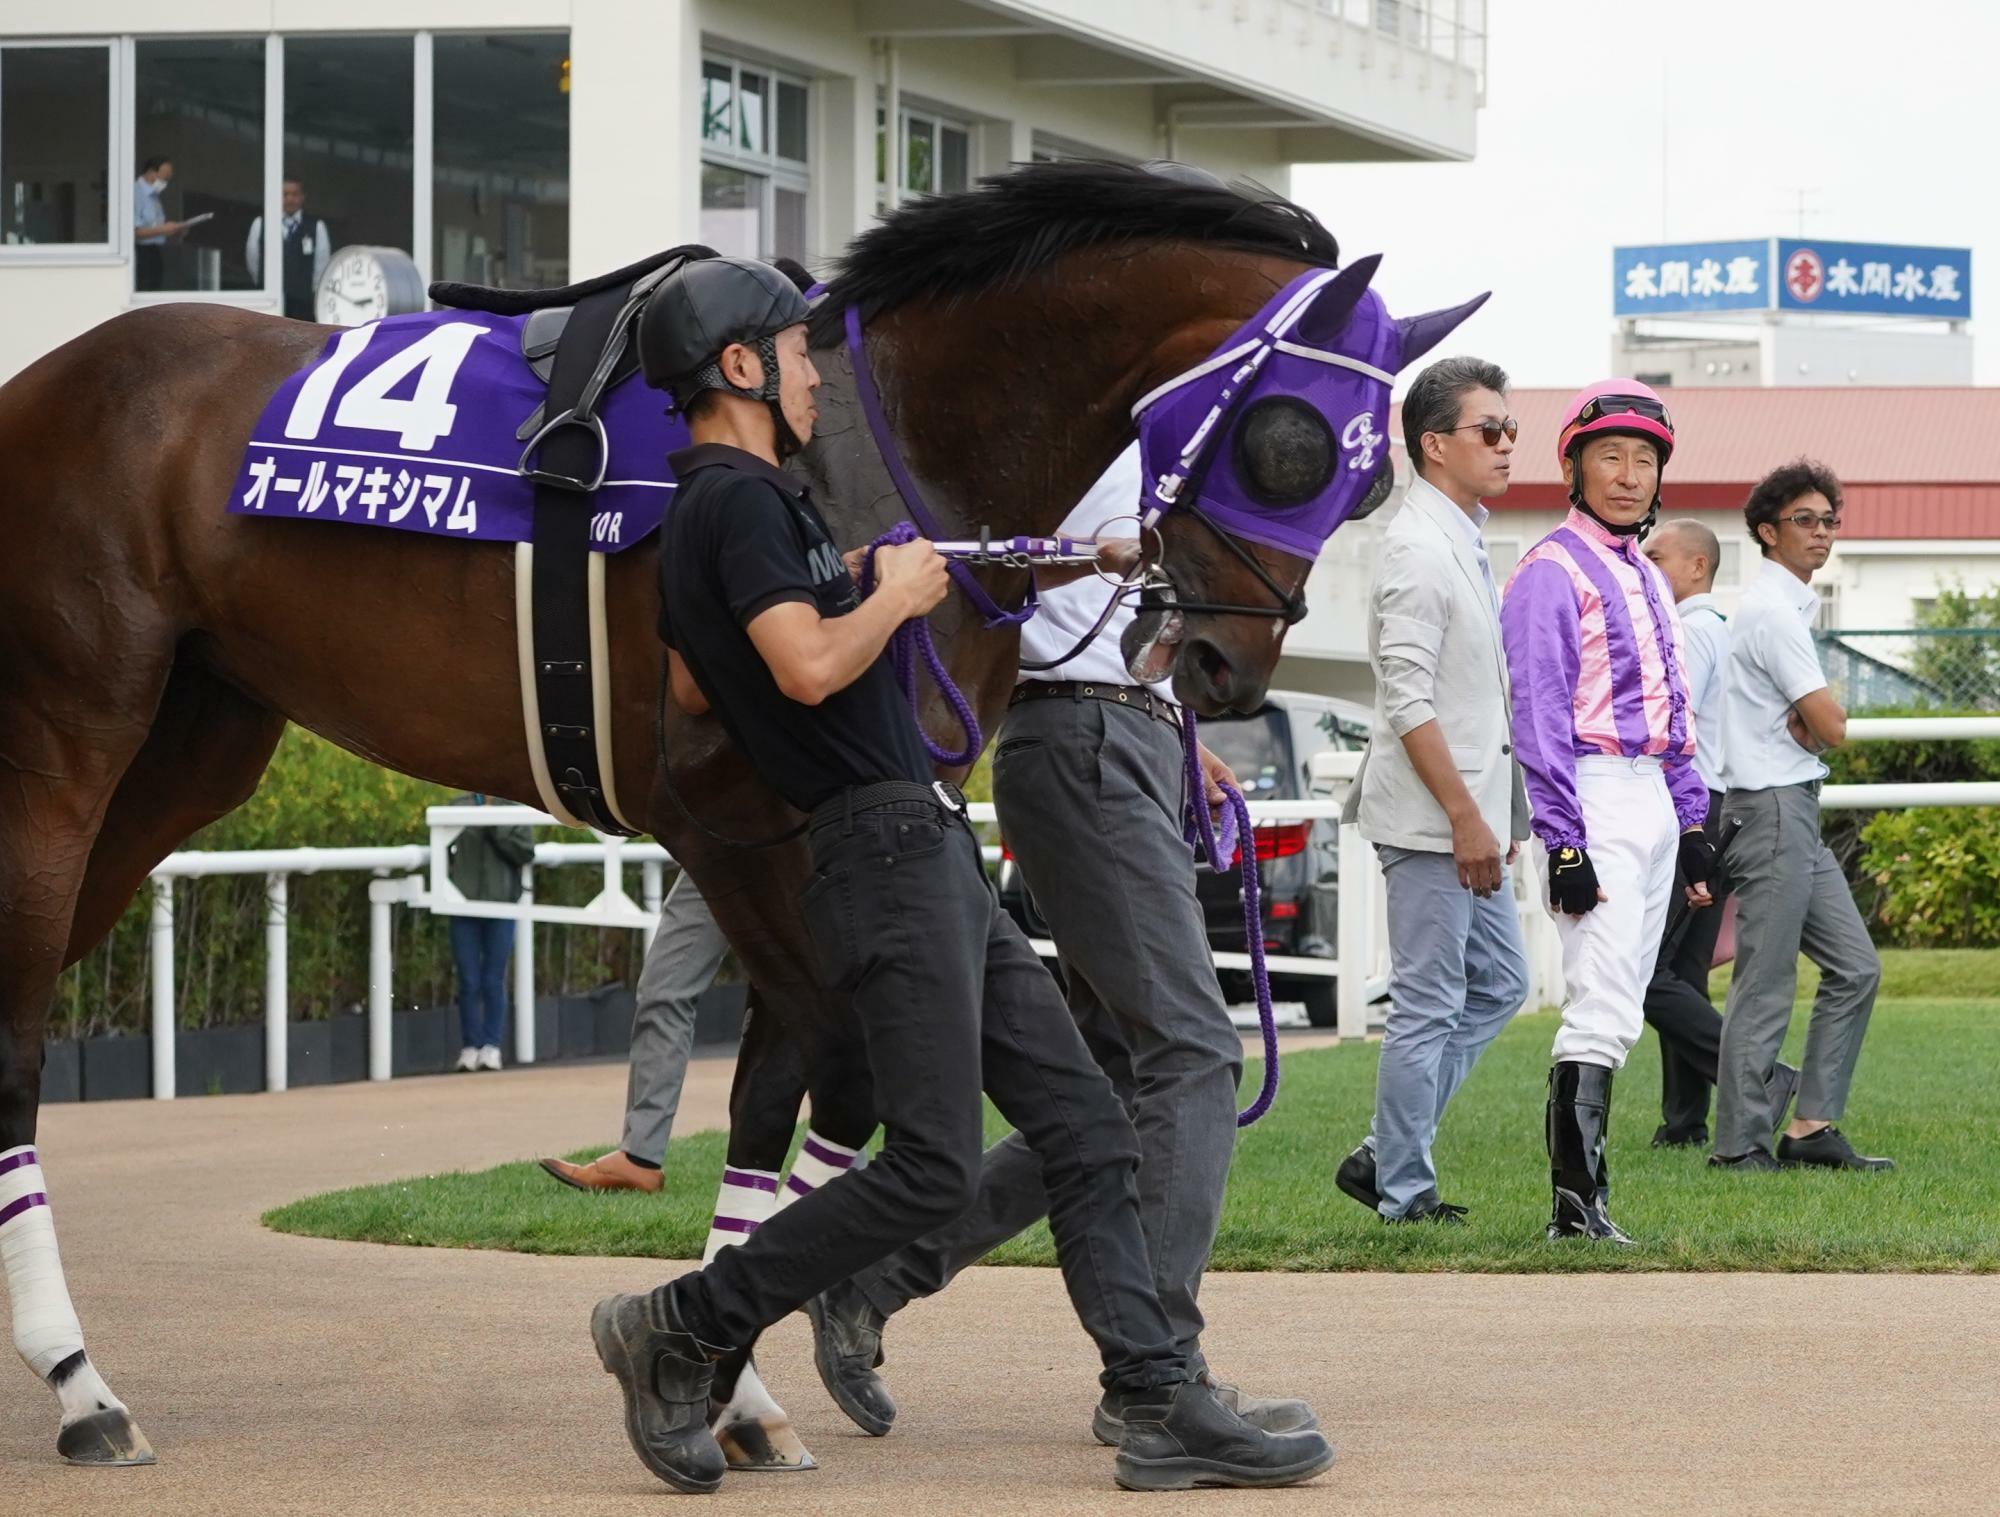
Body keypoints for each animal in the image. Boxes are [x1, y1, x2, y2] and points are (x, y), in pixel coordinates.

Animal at [0, 160, 1400, 1464]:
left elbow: (789, 1089)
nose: (1227, 666)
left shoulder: (820, 822)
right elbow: (838, 1064)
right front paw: (730, 1363)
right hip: (69, 738)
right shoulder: (722, 811)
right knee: (17, 1034)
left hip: (192, 747)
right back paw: (80, 1384)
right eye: (1294, 441)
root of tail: (39, 387)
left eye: (1364, 481)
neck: (878, 437)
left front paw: (736, 1380)